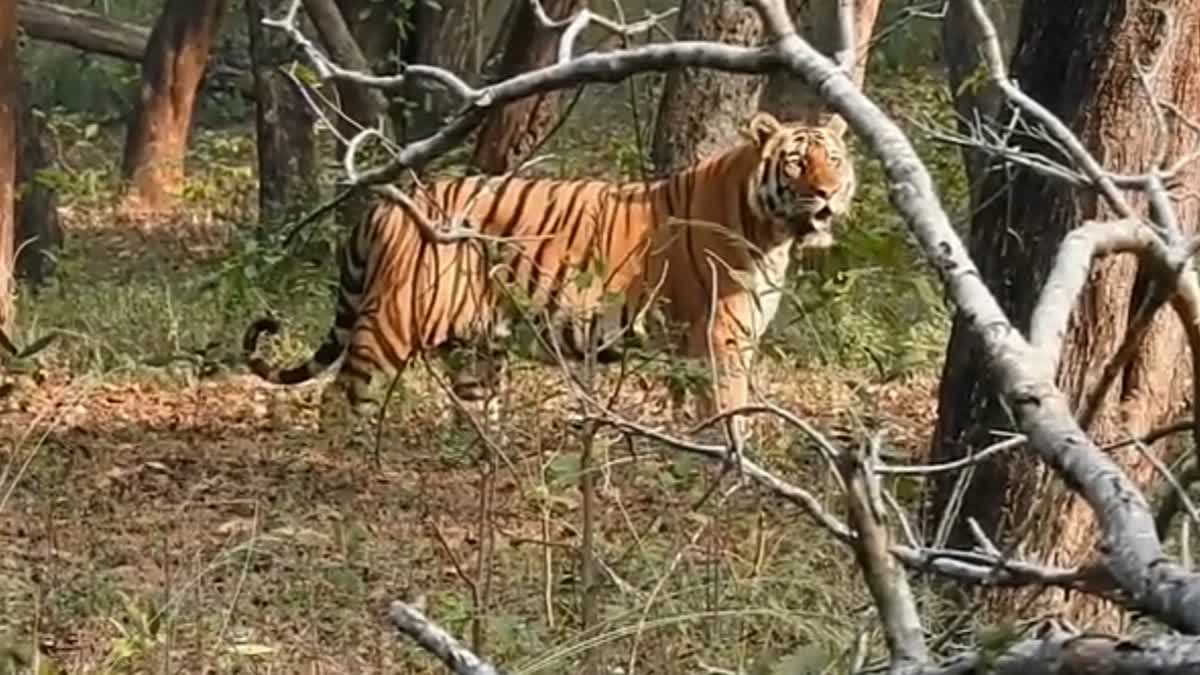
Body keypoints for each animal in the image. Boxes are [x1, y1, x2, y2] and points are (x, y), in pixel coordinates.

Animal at [243, 110, 859, 437]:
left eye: (835, 159)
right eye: (797, 161)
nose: (828, 193)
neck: (771, 231)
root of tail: (387, 203)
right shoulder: (719, 336)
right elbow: (727, 407)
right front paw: (735, 471)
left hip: (476, 340)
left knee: (472, 402)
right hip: (394, 320)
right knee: (342, 393)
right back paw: (347, 460)